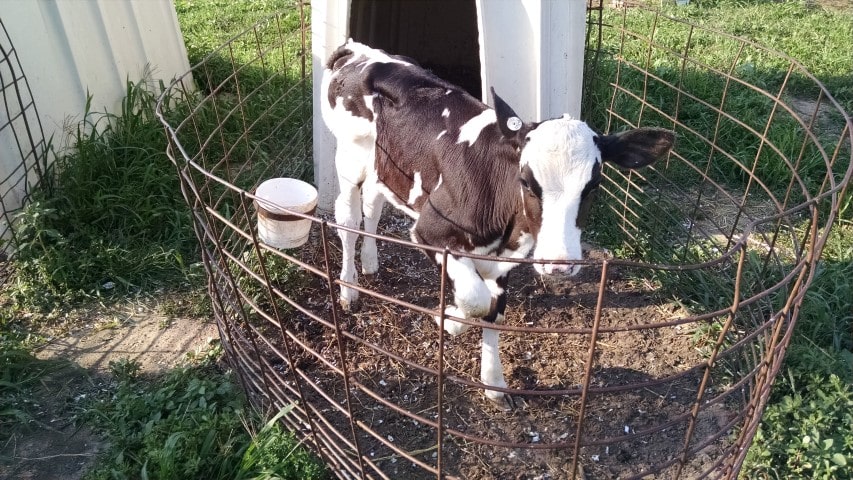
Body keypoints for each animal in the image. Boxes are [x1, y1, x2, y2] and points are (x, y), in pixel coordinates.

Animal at [320, 40, 672, 404]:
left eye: (593, 186)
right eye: (526, 181)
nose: (559, 264)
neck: (505, 226)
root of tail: (360, 51)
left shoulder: (505, 258)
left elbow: (493, 309)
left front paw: (493, 381)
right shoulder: (430, 232)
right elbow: (475, 299)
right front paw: (449, 319)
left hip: (383, 165)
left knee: (373, 206)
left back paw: (370, 261)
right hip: (348, 160)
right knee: (348, 219)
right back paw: (348, 288)